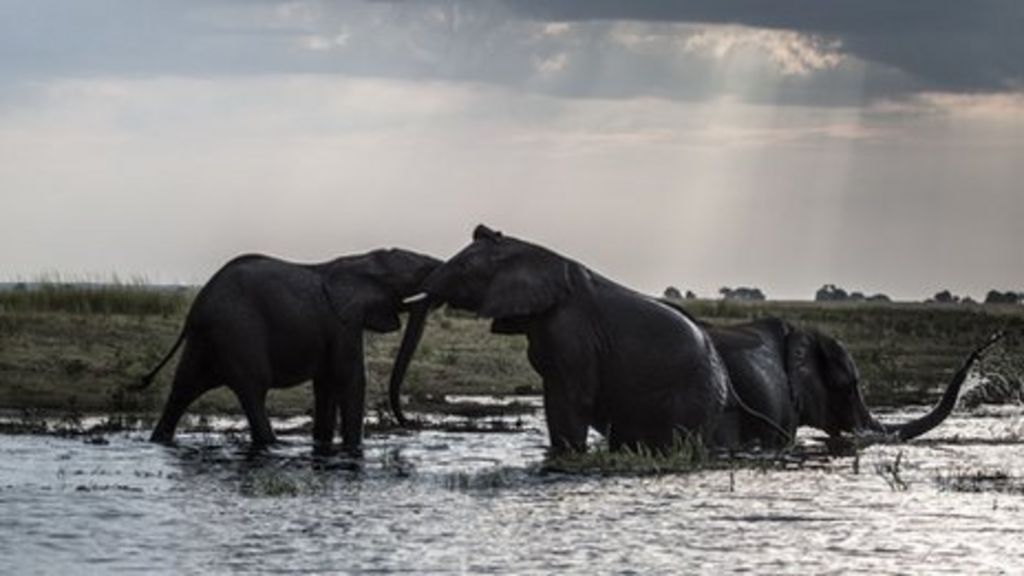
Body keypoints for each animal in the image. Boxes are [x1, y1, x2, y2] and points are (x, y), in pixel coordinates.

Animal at [138, 249, 441, 452]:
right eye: (417, 275)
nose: (409, 424)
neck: (362, 260)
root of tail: (195, 308)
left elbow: (326, 384)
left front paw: (323, 445)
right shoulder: (343, 323)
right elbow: (350, 379)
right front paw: (353, 451)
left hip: (206, 339)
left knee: (182, 389)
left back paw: (159, 442)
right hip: (238, 332)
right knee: (253, 392)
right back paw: (274, 446)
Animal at [388, 225, 731, 454]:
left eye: (464, 267)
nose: (410, 423)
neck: (532, 251)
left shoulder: (572, 330)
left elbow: (571, 400)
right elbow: (554, 397)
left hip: (693, 392)